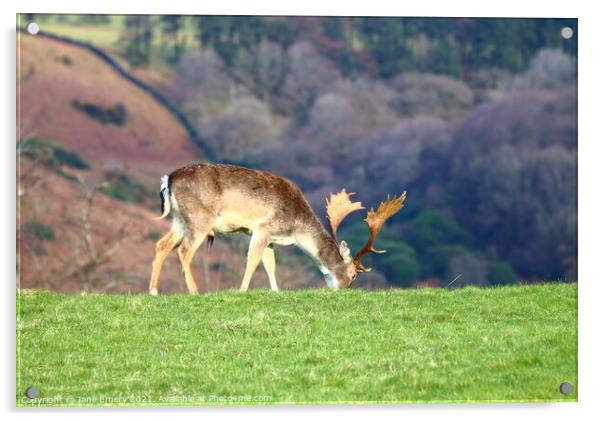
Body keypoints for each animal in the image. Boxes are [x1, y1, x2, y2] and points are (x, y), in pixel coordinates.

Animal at [148, 162, 406, 294]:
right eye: (353, 275)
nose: (343, 290)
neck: (295, 229)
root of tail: (168, 180)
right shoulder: (262, 229)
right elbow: (252, 261)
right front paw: (241, 291)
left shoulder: (271, 239)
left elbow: (270, 265)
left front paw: (276, 291)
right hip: (200, 219)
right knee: (184, 251)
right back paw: (195, 292)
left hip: (180, 220)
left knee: (161, 245)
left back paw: (153, 291)